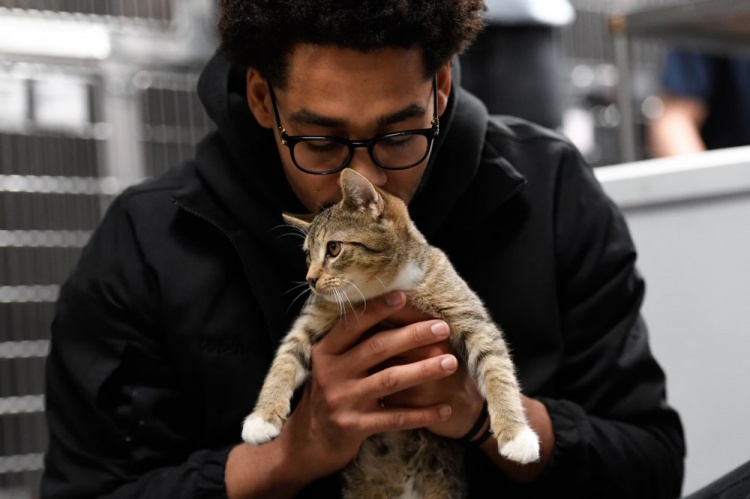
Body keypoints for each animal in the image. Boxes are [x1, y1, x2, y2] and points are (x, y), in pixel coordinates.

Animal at [244, 169, 544, 499]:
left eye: (334, 248)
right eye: (308, 255)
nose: (310, 280)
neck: (384, 288)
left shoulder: (469, 316)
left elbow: (496, 368)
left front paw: (516, 434)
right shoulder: (314, 318)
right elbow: (285, 357)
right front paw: (262, 418)